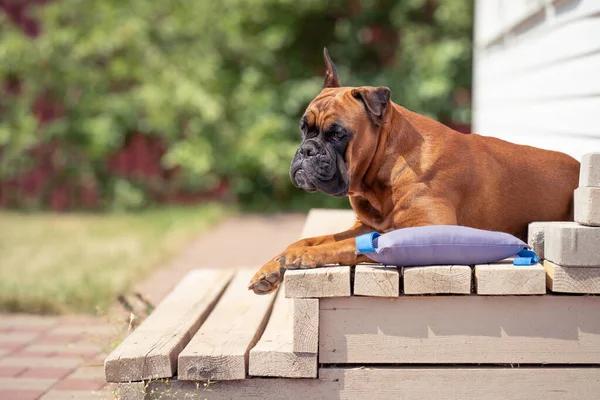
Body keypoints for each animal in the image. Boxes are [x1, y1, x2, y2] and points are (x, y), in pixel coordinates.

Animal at [246, 49, 580, 294]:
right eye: (304, 129)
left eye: (338, 135)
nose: (307, 150)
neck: (386, 165)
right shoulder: (367, 224)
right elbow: (315, 238)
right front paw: (272, 267)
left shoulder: (425, 228)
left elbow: (343, 245)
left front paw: (304, 257)